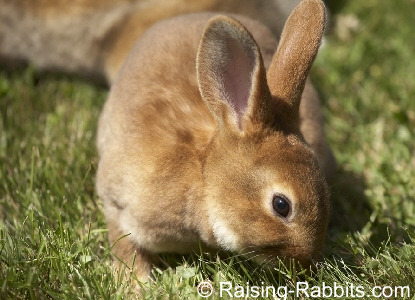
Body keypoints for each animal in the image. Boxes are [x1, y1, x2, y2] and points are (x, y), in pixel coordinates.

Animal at [96, 0, 336, 280]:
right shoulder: (117, 203)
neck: (203, 176)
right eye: (281, 205)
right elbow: (124, 245)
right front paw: (137, 283)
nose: (307, 264)